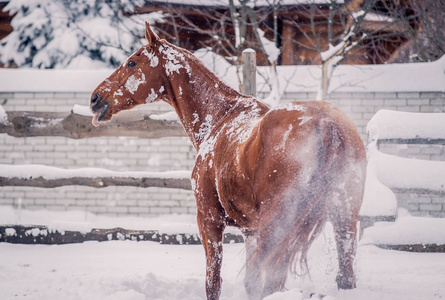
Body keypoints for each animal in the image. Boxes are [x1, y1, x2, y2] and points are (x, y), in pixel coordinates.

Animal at [89, 22, 364, 298]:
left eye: (132, 63)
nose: (95, 98)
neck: (219, 118)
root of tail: (326, 124)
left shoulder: (209, 220)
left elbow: (214, 282)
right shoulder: (250, 229)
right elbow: (250, 283)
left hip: (280, 226)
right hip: (344, 219)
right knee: (345, 277)